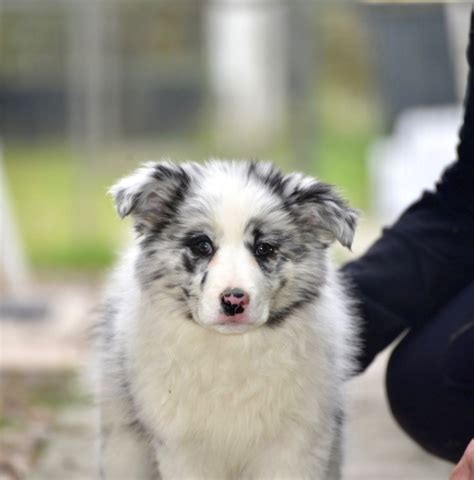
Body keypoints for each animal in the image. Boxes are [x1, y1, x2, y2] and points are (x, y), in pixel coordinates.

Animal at [96, 159, 358, 478]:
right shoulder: (183, 446)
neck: (232, 349)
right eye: (202, 245)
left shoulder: (294, 444)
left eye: (265, 248)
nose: (234, 300)